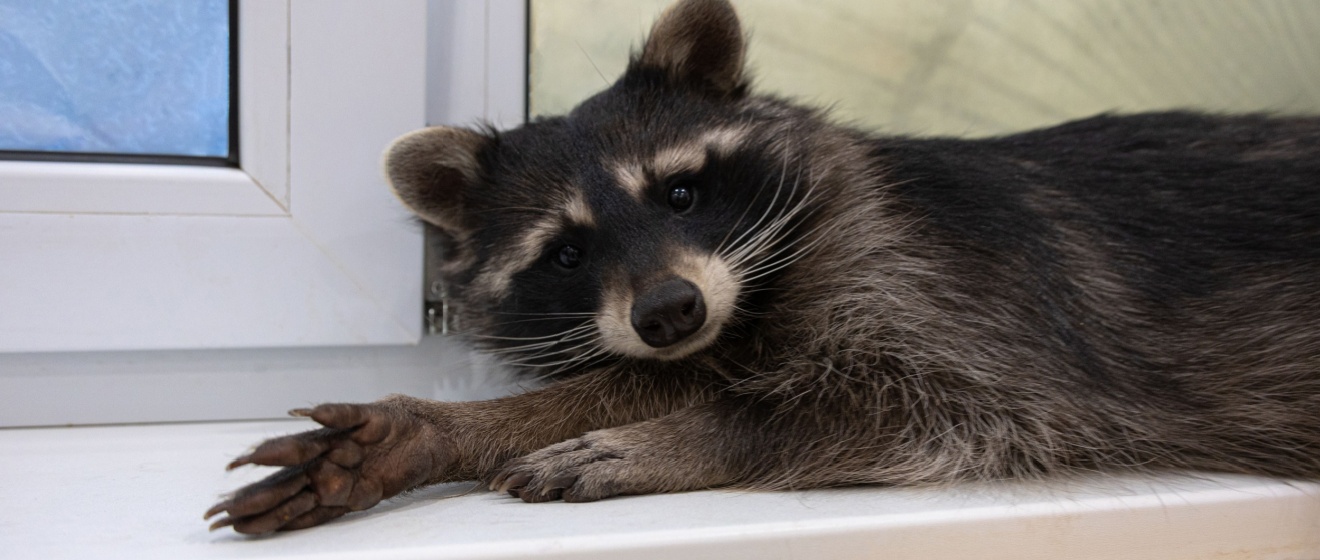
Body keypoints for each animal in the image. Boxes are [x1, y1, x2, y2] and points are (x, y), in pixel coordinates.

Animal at [206, 0, 1320, 534]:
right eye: (566, 250)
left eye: (679, 193)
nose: (667, 308)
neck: (755, 285)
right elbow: (665, 372)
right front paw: (457, 425)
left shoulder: (960, 308)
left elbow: (898, 403)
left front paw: (682, 438)